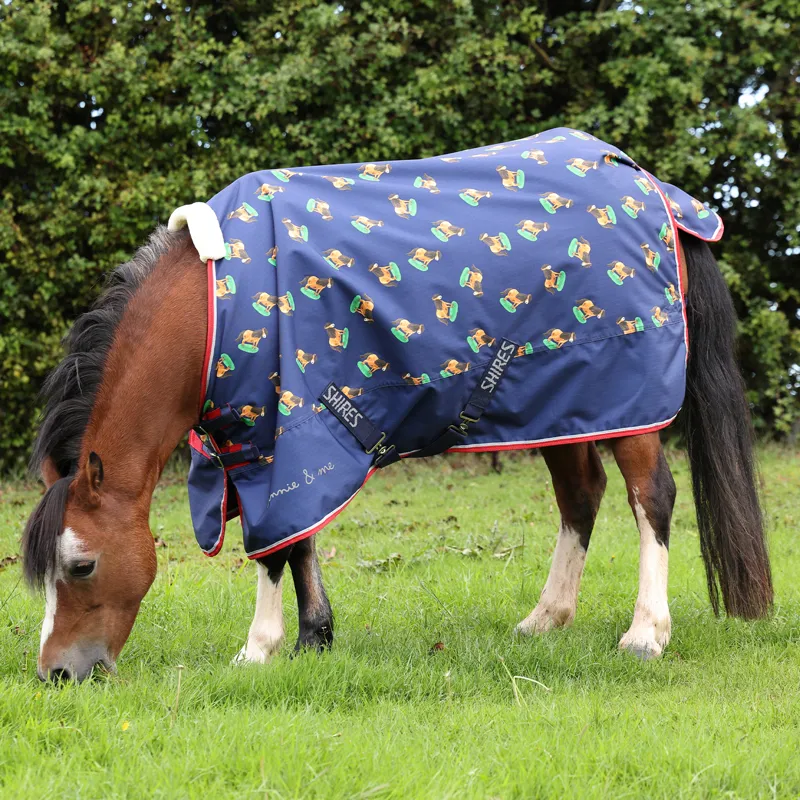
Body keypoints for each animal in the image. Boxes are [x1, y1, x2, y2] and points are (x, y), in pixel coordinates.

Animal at [23, 142, 771, 683]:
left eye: (82, 566)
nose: (57, 673)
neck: (211, 308)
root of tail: (656, 193)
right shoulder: (271, 443)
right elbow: (296, 541)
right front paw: (314, 636)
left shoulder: (278, 440)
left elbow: (272, 547)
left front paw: (260, 648)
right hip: (566, 403)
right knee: (581, 496)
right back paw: (545, 619)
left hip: (630, 399)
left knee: (652, 498)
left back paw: (645, 634)